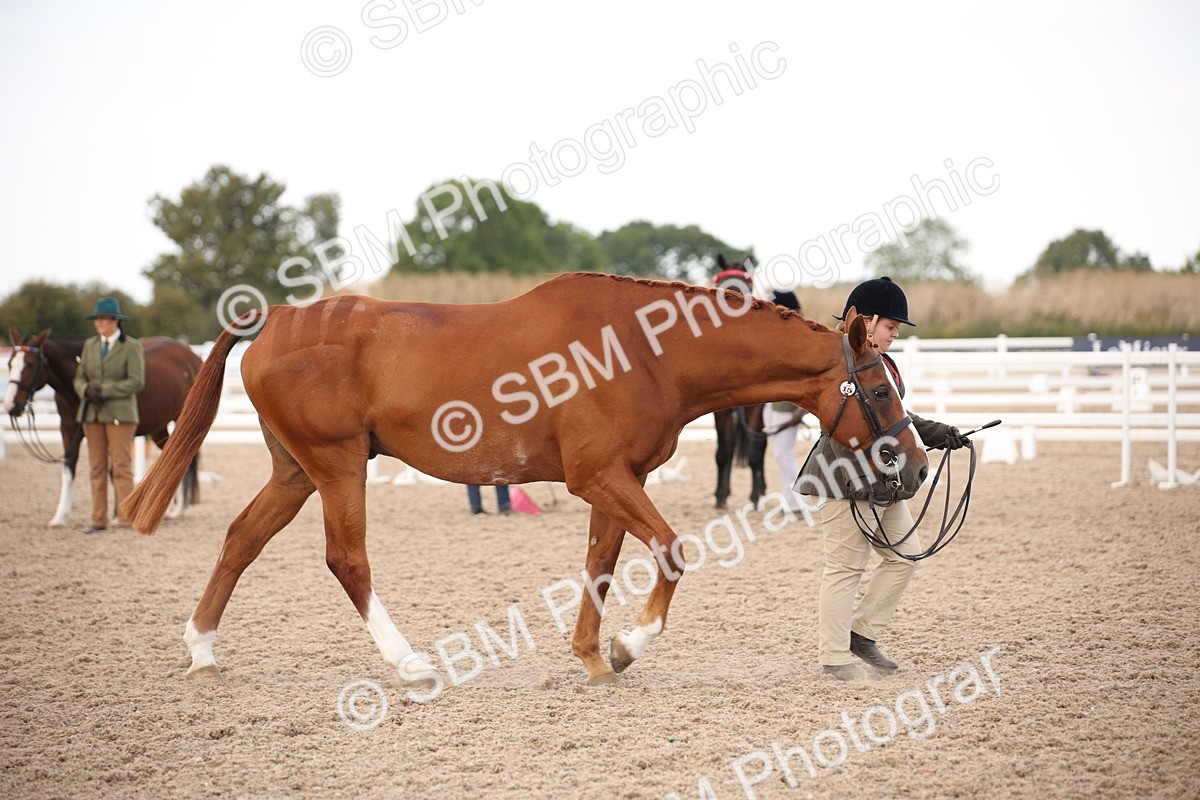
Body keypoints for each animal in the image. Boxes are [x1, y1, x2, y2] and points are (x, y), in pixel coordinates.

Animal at [5, 327, 203, 526]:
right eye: (9, 364)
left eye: (30, 364)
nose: (10, 406)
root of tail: (192, 355)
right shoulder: (68, 431)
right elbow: (69, 469)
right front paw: (59, 517)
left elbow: (114, 471)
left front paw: (117, 516)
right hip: (158, 428)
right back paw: (170, 510)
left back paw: (177, 509)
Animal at [122, 273, 928, 687]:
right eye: (877, 388)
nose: (919, 465)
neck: (644, 349)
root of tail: (278, 318)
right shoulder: (600, 477)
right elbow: (670, 551)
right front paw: (629, 646)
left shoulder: (615, 479)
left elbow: (600, 563)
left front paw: (594, 656)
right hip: (337, 464)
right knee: (346, 559)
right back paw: (410, 663)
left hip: (295, 471)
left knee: (240, 540)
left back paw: (202, 649)